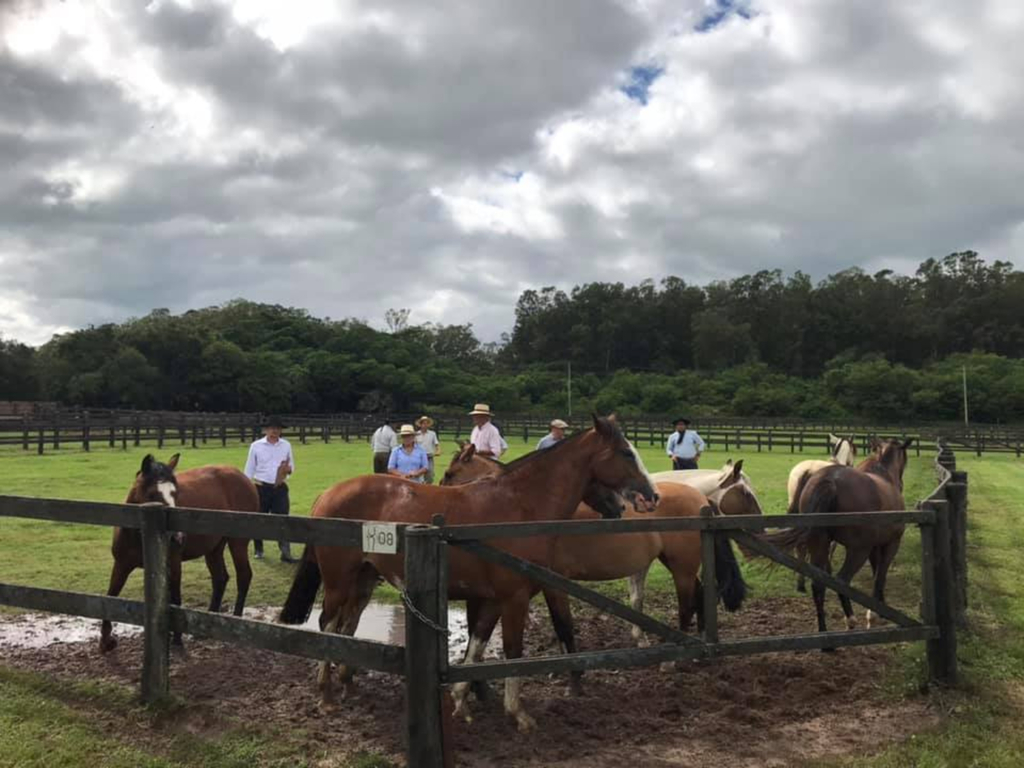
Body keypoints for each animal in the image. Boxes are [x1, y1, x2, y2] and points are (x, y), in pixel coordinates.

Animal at [99, 456, 258, 655]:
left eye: (175, 493)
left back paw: (236, 620)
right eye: (151, 494)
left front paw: (176, 639)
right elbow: (111, 596)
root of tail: (243, 478)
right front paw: (105, 641)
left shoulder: (173, 563)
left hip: (238, 543)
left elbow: (175, 597)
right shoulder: (121, 565)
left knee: (244, 575)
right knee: (220, 578)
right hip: (214, 549)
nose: (178, 537)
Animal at [280, 421, 659, 733]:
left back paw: (347, 683)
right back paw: (326, 695)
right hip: (338, 582)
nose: (648, 497)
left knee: (347, 626)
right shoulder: (514, 598)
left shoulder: (491, 600)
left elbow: (476, 646)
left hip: (363, 581)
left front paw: (462, 701)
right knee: (328, 626)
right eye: (626, 452)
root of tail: (328, 495)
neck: (519, 507)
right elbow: (513, 650)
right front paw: (518, 713)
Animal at [442, 442, 753, 696]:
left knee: (687, 606)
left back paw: (671, 662)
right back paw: (698, 651)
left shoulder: (553, 583)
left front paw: (574, 679)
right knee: (700, 597)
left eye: (450, 473)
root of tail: (700, 500)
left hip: (682, 568)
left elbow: (564, 627)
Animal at [765, 442, 909, 634]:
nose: (901, 484)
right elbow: (880, 576)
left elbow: (875, 571)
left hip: (818, 541)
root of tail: (829, 480)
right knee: (842, 580)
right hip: (858, 550)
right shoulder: (890, 543)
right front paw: (876, 612)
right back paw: (850, 619)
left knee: (817, 581)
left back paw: (823, 630)